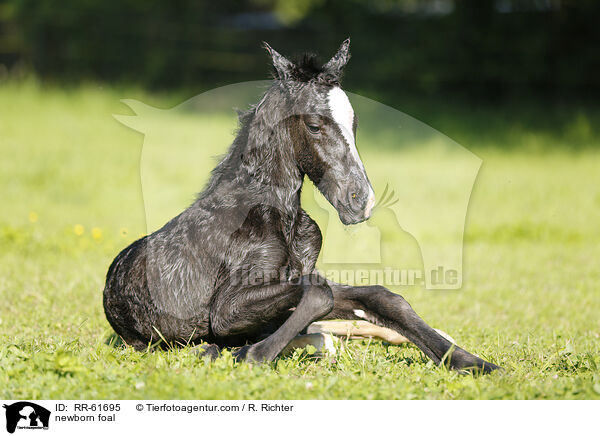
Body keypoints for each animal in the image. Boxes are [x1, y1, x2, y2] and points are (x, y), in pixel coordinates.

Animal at [104, 40, 502, 372]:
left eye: (355, 123)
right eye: (313, 124)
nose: (361, 201)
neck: (277, 215)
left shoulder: (304, 278)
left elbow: (382, 297)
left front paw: (473, 363)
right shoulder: (227, 308)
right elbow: (319, 292)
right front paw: (251, 354)